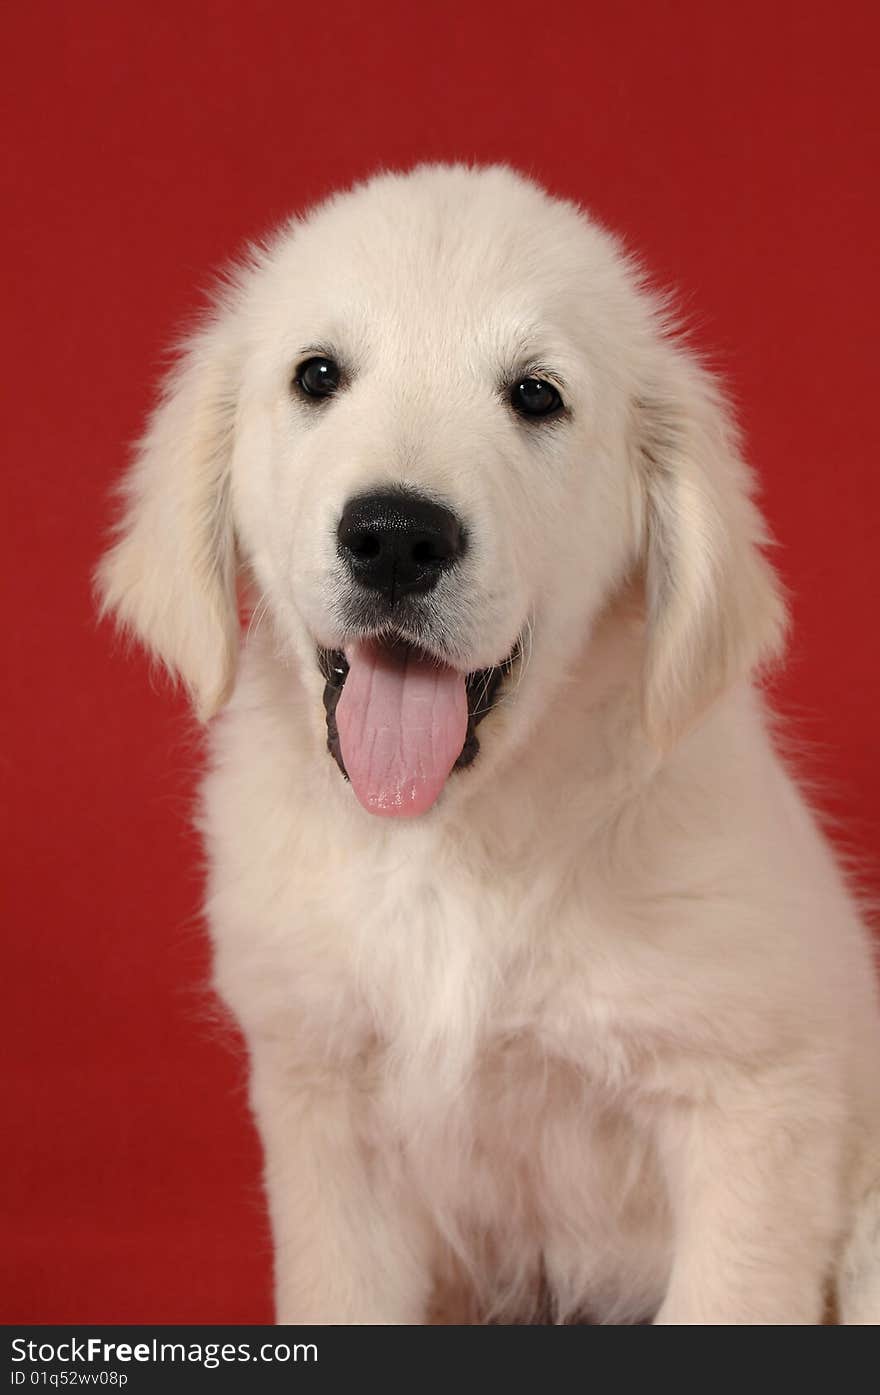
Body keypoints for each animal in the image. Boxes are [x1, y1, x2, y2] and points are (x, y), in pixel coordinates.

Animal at [98, 163, 880, 1316]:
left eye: (536, 395)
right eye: (317, 375)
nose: (394, 537)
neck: (448, 848)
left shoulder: (754, 1106)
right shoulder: (325, 1113)